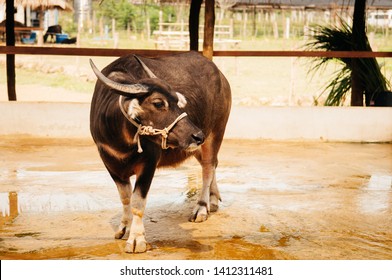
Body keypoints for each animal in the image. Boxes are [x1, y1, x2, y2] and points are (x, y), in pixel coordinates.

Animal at [88, 51, 233, 253]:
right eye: (158, 103)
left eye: (178, 102)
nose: (197, 135)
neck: (121, 140)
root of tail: (220, 76)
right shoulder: (110, 164)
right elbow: (125, 198)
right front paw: (124, 228)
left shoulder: (149, 164)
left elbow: (137, 202)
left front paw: (137, 239)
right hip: (196, 146)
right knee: (213, 165)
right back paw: (213, 199)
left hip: (216, 133)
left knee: (207, 168)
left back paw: (202, 207)